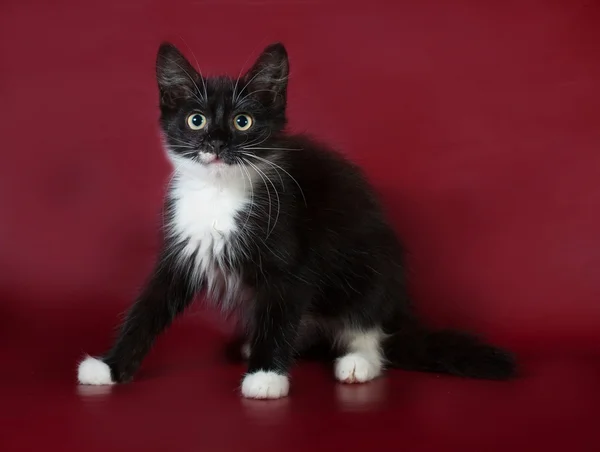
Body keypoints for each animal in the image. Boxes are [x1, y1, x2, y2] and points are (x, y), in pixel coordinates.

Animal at [76, 41, 516, 396]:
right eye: (195, 119)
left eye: (242, 122)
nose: (215, 143)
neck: (219, 193)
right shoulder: (184, 246)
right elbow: (148, 307)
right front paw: (110, 367)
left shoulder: (292, 252)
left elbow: (283, 306)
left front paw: (267, 377)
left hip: (371, 267)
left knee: (369, 325)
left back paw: (357, 361)